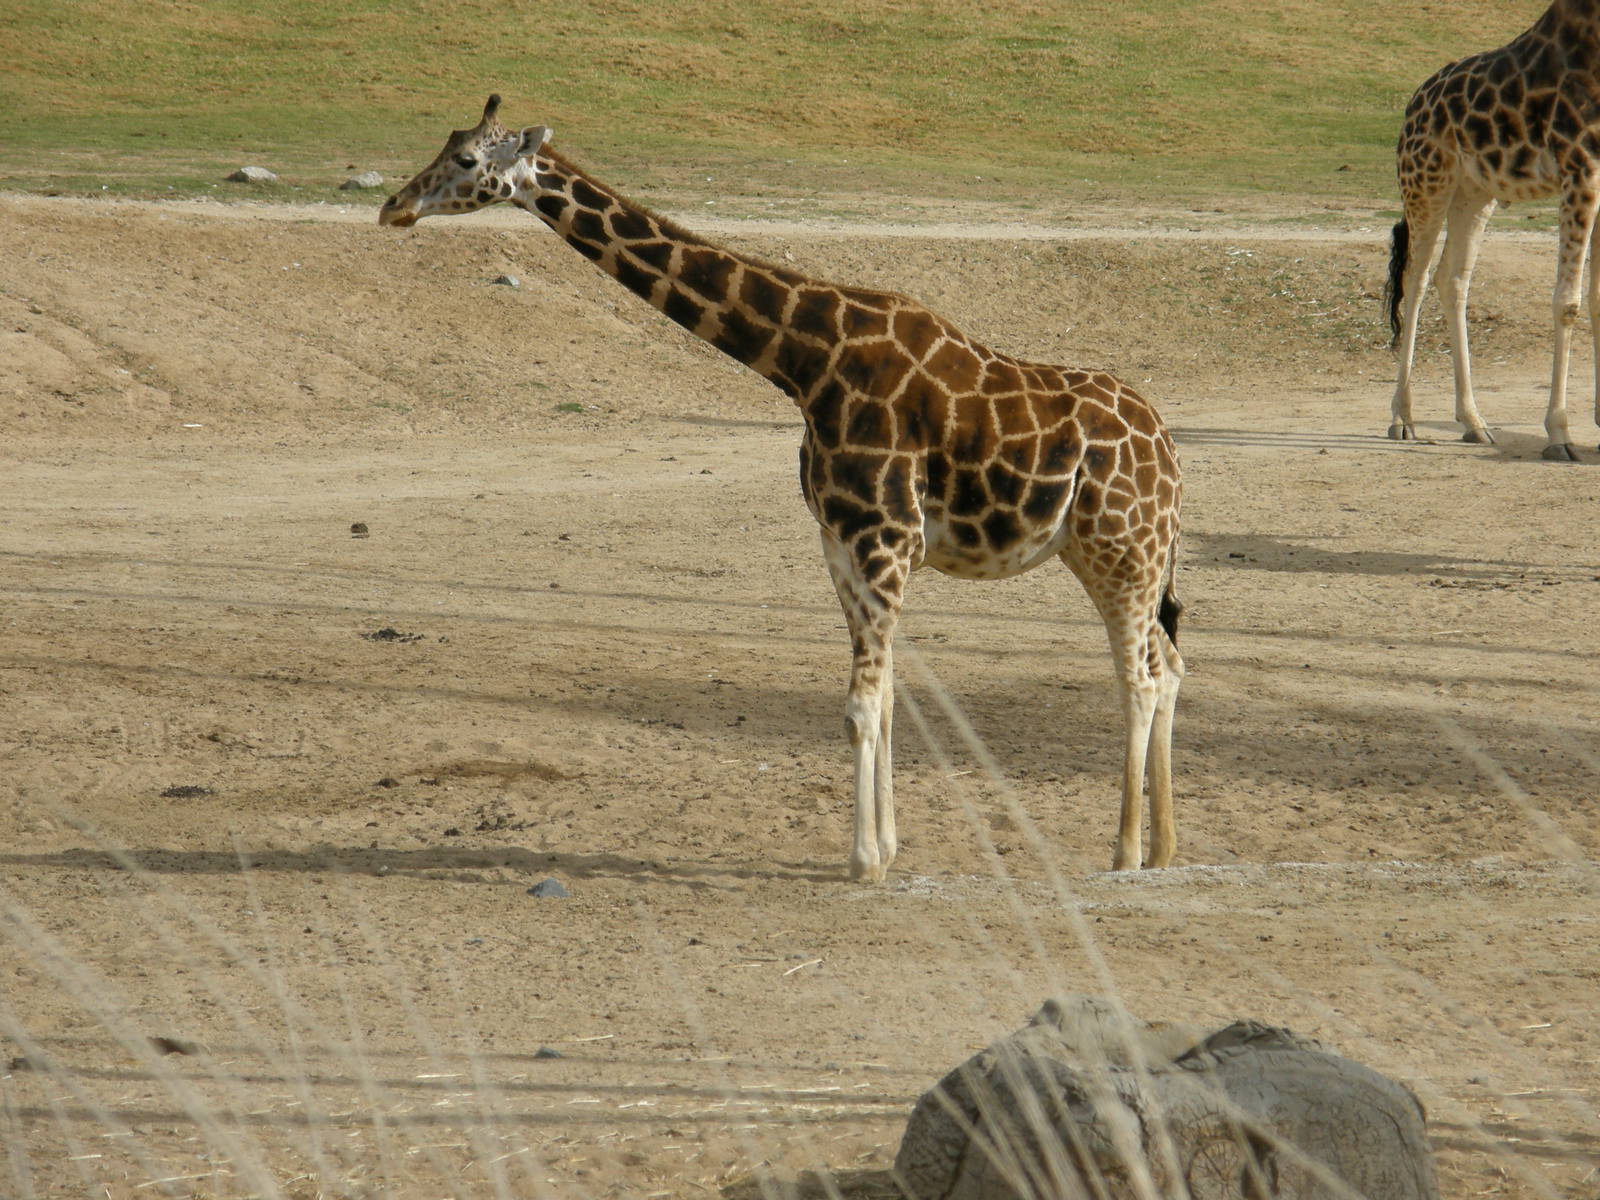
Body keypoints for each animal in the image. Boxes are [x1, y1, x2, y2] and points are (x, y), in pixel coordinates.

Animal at [380, 96, 1185, 881]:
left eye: (465, 159)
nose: (393, 207)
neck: (803, 359)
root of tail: (1171, 457)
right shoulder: (840, 542)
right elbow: (884, 702)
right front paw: (886, 848)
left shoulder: (887, 538)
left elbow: (861, 706)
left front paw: (864, 862)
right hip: (1110, 554)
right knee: (1170, 665)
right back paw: (1166, 848)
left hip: (1121, 549)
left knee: (1140, 678)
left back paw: (1124, 852)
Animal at [1386, 0, 1600, 461]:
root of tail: (1413, 105)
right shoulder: (1579, 168)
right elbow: (1567, 303)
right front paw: (1559, 434)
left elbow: (1595, 300)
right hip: (1426, 184)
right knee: (1416, 279)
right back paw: (1402, 418)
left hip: (1474, 194)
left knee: (1453, 279)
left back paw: (1473, 422)